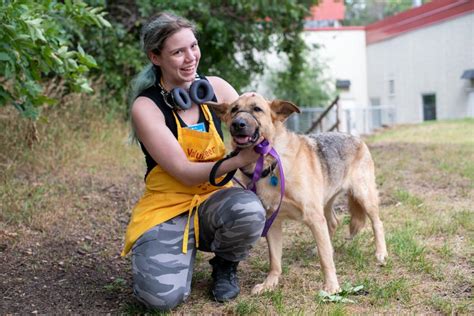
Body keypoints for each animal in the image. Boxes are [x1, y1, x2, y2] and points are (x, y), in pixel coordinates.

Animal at [209, 92, 386, 296]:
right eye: (234, 110)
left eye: (257, 109)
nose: (238, 124)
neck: (269, 162)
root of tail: (356, 138)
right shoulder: (273, 222)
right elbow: (275, 260)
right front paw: (270, 283)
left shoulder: (314, 217)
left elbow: (325, 259)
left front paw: (332, 286)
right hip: (326, 201)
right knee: (333, 223)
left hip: (363, 196)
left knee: (377, 223)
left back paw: (381, 253)